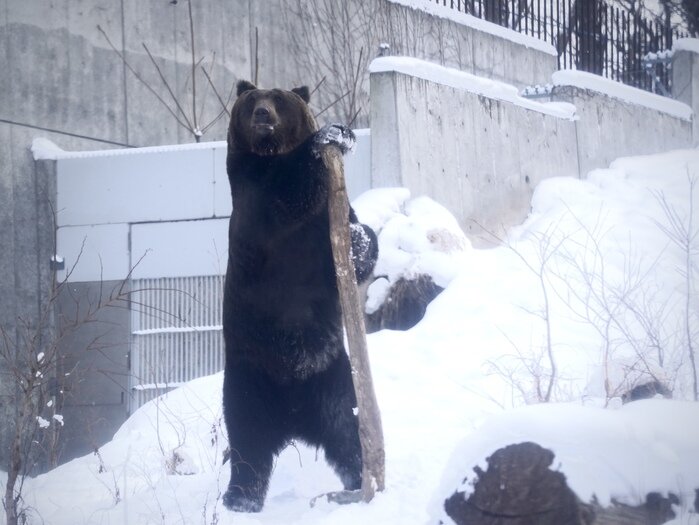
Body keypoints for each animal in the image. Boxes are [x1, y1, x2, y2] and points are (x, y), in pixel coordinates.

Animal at [223, 82, 378, 512]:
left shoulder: (325, 226)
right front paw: (328, 135)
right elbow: (287, 196)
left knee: (345, 433)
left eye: (279, 99)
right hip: (247, 378)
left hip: (332, 380)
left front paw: (358, 239)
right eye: (252, 101)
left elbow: (351, 252)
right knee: (247, 443)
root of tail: (292, 422)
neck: (271, 153)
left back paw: (360, 480)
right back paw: (239, 500)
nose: (262, 114)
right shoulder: (256, 201)